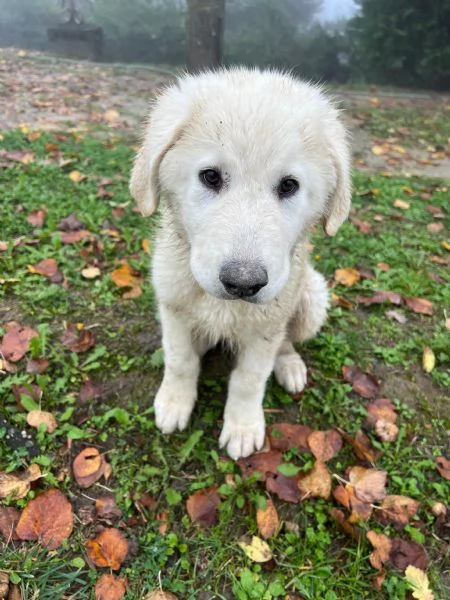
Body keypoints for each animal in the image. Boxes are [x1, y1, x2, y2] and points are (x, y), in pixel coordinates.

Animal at [130, 67, 352, 460]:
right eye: (211, 176)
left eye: (289, 185)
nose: (244, 282)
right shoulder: (173, 308)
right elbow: (180, 361)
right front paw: (174, 403)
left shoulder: (266, 327)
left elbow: (249, 379)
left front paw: (243, 426)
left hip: (310, 298)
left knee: (287, 341)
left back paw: (290, 364)